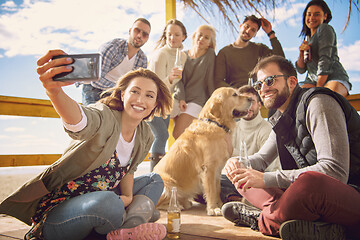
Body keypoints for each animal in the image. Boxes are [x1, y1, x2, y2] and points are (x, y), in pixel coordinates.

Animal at [153, 87, 252, 216]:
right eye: (234, 95)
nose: (251, 98)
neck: (216, 123)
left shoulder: (217, 169)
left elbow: (217, 189)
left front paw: (220, 204)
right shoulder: (209, 168)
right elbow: (211, 190)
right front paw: (213, 208)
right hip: (166, 183)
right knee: (156, 204)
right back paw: (176, 206)